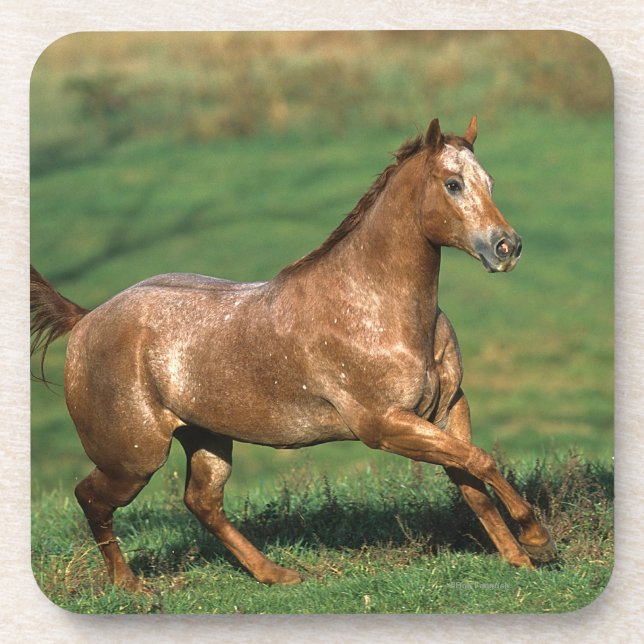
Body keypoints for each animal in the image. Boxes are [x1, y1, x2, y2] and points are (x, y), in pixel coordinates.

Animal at [30, 117, 556, 592]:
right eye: (452, 184)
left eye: (489, 182)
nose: (507, 247)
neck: (374, 306)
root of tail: (86, 319)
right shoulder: (385, 425)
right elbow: (481, 462)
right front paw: (538, 541)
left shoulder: (447, 408)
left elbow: (472, 477)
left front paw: (520, 558)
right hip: (133, 458)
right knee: (92, 498)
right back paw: (132, 587)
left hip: (207, 438)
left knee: (202, 502)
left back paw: (276, 574)